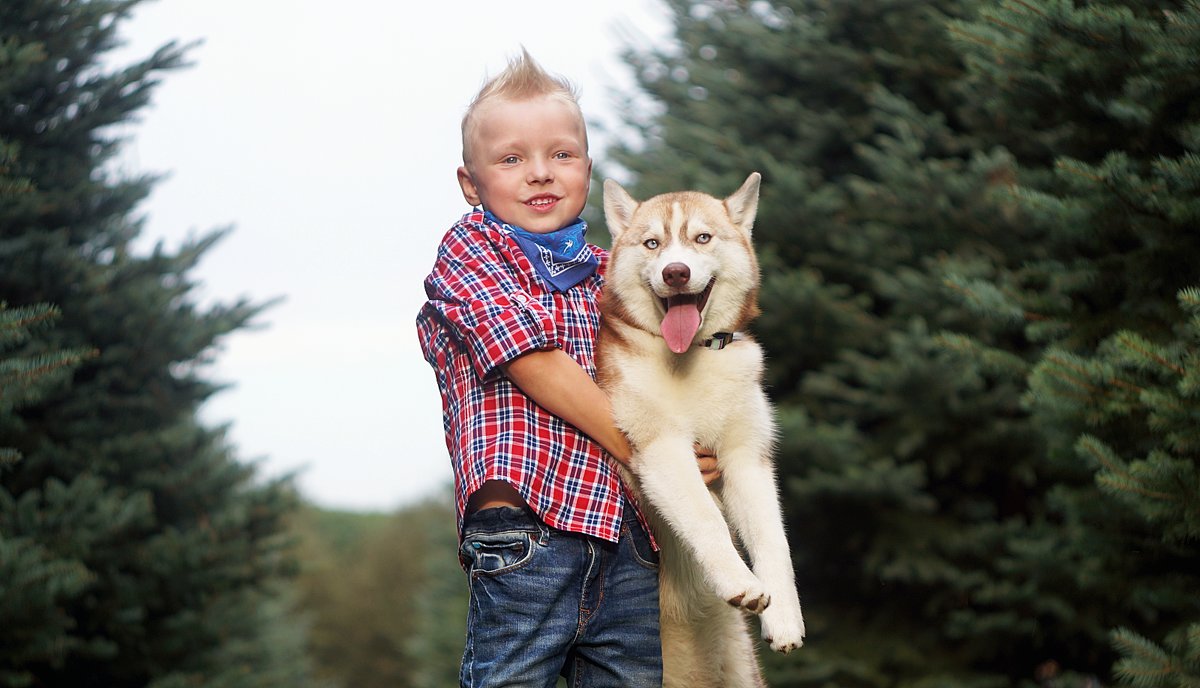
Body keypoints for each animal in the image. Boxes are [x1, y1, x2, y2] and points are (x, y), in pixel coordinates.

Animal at [595, 174, 801, 681]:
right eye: (653, 243)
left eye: (701, 238)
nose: (675, 273)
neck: (693, 358)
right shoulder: (663, 450)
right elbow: (707, 519)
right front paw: (741, 581)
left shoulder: (747, 460)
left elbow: (775, 543)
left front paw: (785, 619)